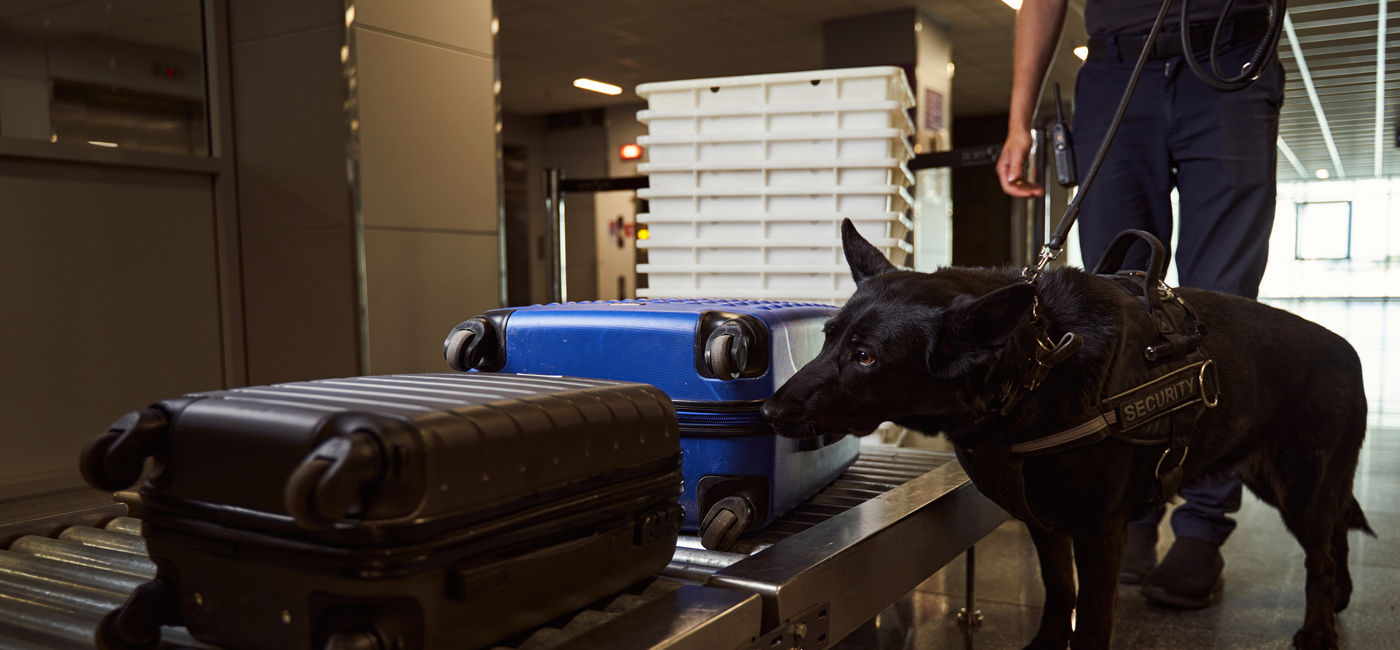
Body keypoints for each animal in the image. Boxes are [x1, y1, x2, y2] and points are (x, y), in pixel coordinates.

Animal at [761, 221, 1372, 647]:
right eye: (827, 338)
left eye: (866, 358)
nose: (768, 410)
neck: (1038, 361)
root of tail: (1348, 348)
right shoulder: (1045, 520)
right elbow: (1060, 590)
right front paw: (1048, 642)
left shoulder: (1100, 533)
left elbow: (1094, 616)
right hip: (1282, 485)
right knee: (1335, 535)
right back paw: (1343, 595)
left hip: (1299, 488)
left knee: (1319, 556)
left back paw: (1321, 627)